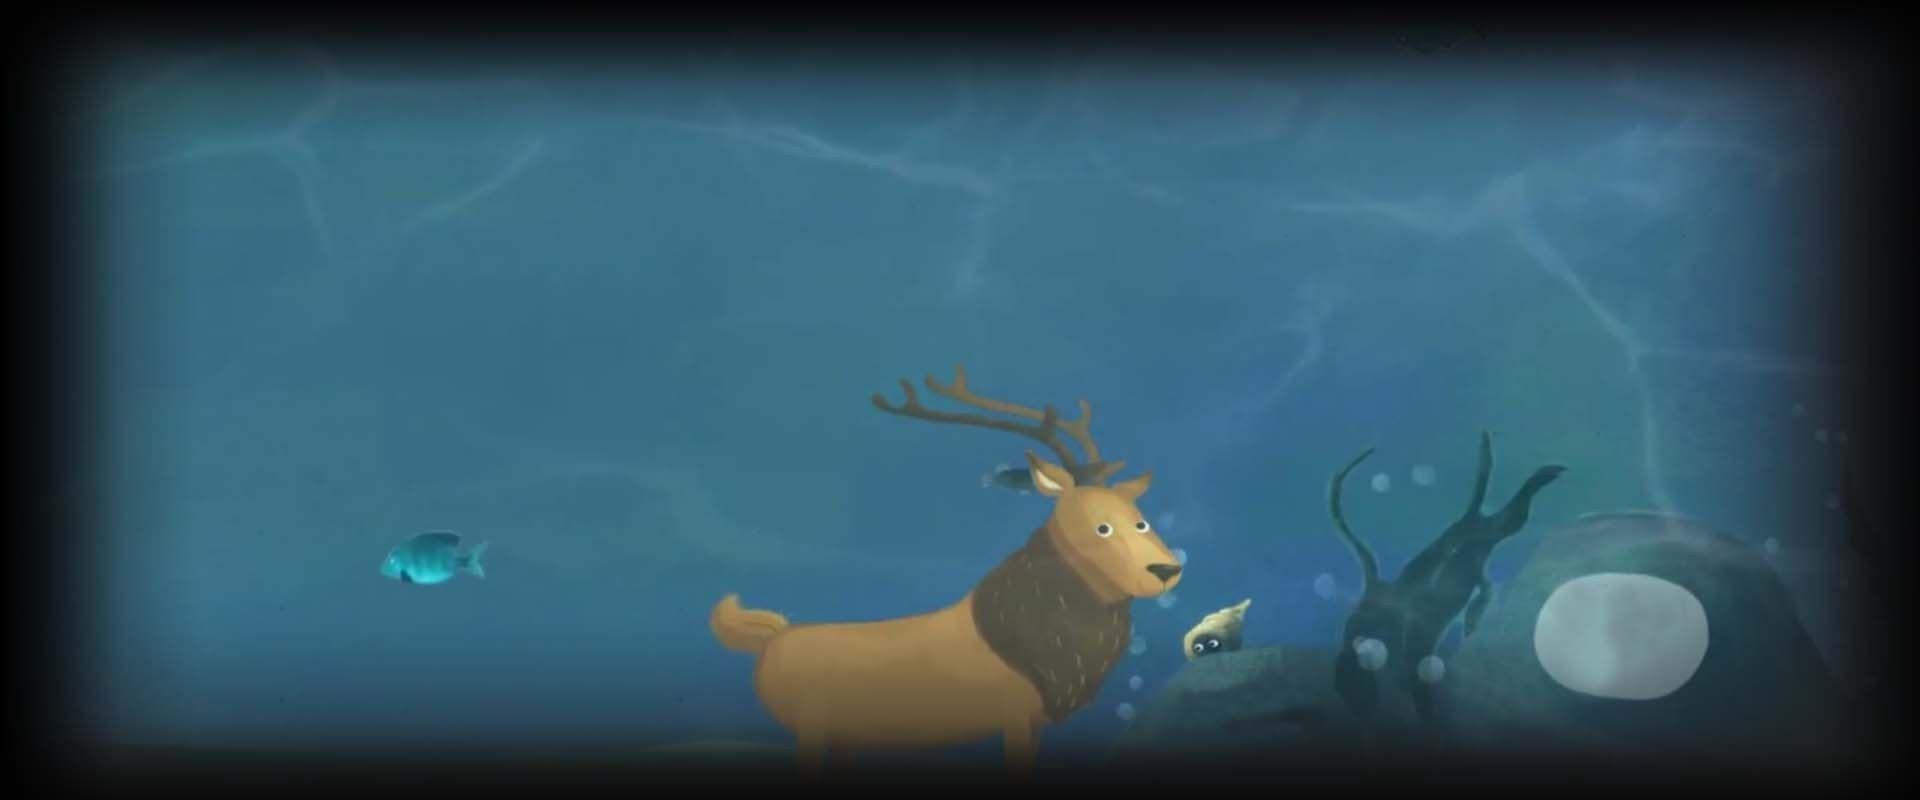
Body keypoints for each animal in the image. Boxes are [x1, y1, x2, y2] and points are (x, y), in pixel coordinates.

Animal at [709, 365, 1182, 775]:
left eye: (1141, 519)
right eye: (1102, 526)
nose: (1166, 570)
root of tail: (770, 640)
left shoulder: (1033, 721)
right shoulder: (1013, 716)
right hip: (811, 732)